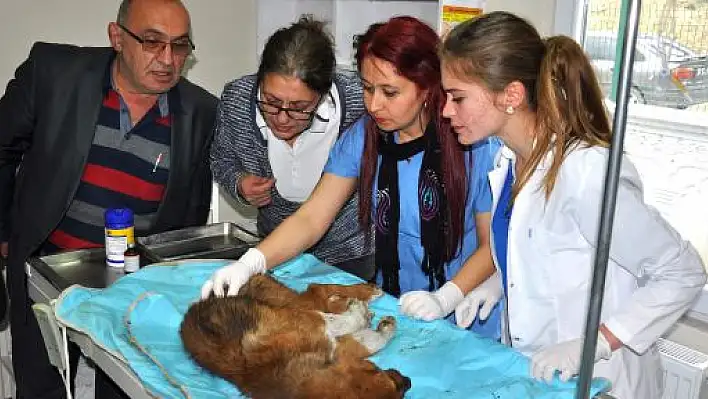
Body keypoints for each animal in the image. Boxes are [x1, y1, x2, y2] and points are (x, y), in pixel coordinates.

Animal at [180, 276, 410, 399]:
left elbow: (364, 338)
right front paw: (369, 320)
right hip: (294, 305)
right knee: (319, 293)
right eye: (378, 371)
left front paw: (378, 324)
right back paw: (355, 300)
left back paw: (360, 294)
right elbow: (360, 335)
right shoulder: (314, 326)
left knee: (320, 293)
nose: (408, 381)